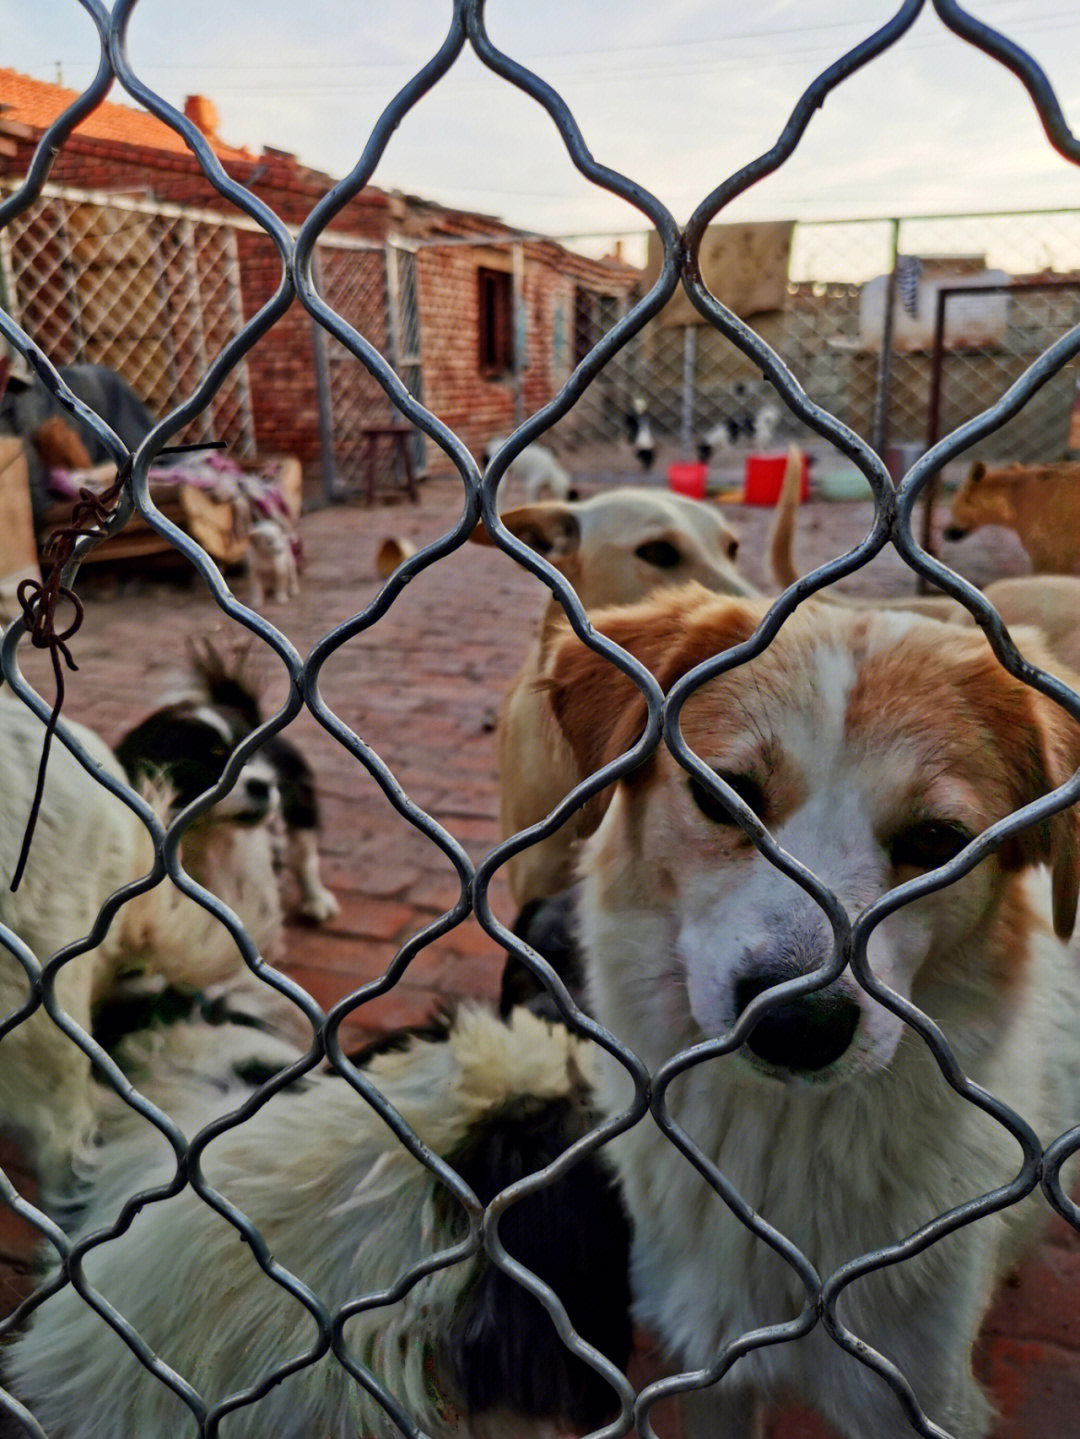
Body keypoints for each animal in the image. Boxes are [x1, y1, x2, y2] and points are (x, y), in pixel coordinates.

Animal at [549, 587, 1080, 1439]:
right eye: (723, 796)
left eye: (938, 840)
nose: (797, 1023)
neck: (781, 1144)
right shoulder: (712, 1372)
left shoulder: (921, 1398)